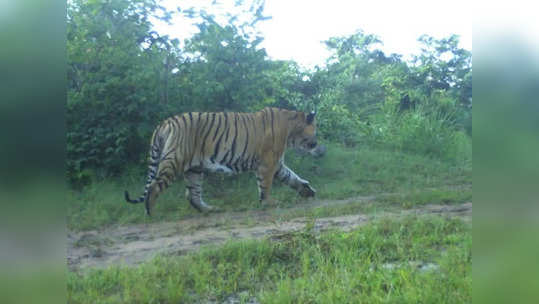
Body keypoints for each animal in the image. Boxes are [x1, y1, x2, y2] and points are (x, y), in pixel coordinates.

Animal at [125, 108, 320, 215]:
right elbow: (266, 185)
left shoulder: (277, 164)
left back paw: (210, 210)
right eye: (315, 130)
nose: (318, 144)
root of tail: (165, 123)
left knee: (192, 194)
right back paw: (150, 212)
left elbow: (292, 177)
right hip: (175, 160)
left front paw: (307, 191)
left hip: (194, 169)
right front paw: (268, 203)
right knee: (154, 186)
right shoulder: (268, 163)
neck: (291, 130)